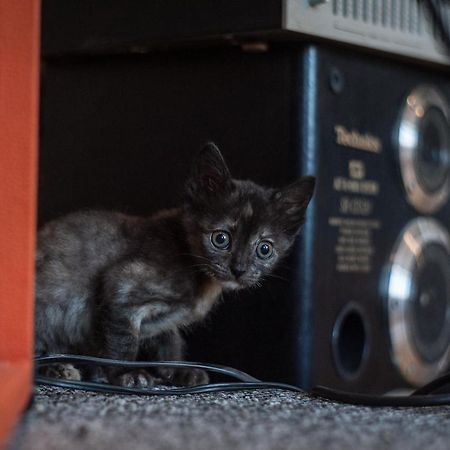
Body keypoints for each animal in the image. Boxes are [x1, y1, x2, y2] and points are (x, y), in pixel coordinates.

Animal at [35, 143, 314, 386]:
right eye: (221, 238)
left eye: (264, 249)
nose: (239, 270)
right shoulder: (122, 286)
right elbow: (124, 343)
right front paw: (127, 374)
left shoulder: (161, 323)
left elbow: (170, 342)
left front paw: (179, 372)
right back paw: (57, 367)